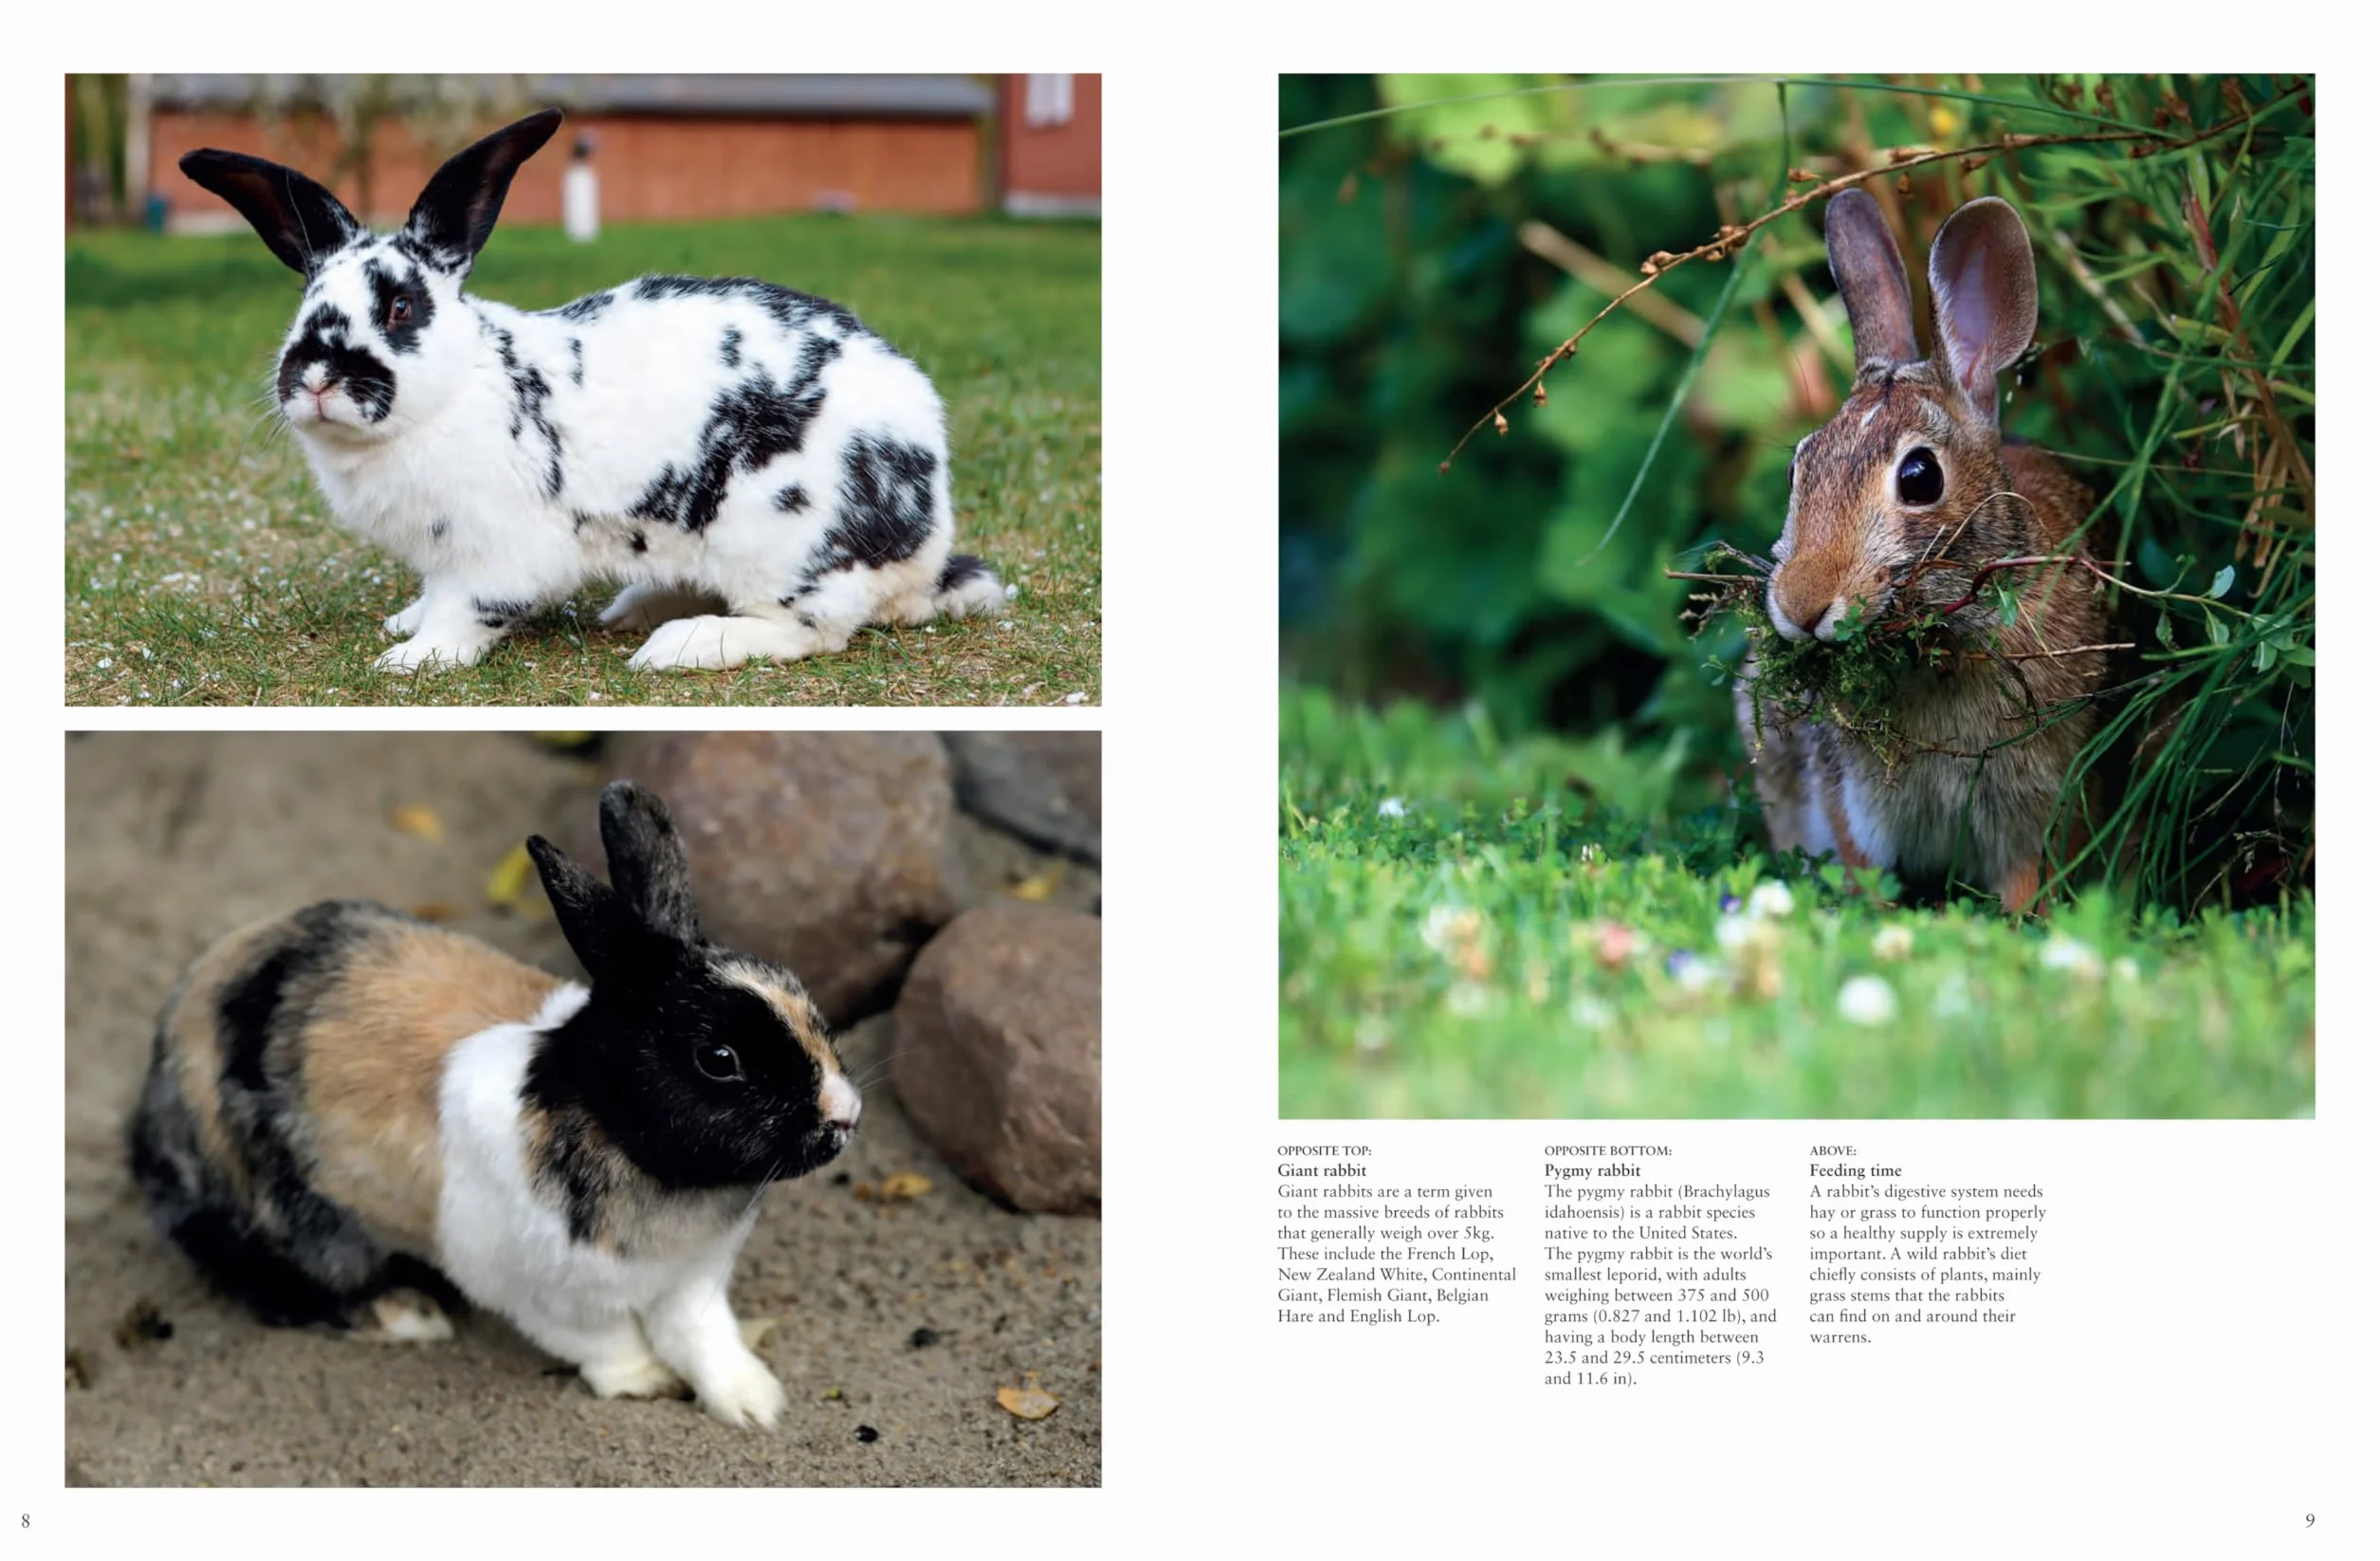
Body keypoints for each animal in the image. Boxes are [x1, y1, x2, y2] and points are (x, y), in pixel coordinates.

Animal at [125, 781, 861, 1429]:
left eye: (799, 994)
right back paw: (409, 1317)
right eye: (719, 1059)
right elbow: (607, 1346)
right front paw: (646, 1383)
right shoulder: (544, 1295)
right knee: (283, 1285)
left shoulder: (692, 1284)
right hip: (292, 1219)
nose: (844, 1114)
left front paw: (754, 1404)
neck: (606, 1120)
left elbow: (704, 1339)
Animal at [179, 108, 1008, 674]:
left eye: (401, 308)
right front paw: (401, 626)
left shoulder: (496, 552)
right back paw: (632, 611)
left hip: (781, 541)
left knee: (810, 630)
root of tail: (926, 544)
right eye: (305, 304)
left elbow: (467, 609)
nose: (316, 376)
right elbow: (432, 593)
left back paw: (678, 644)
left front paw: (414, 658)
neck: (455, 391)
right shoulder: (440, 554)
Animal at [1732, 190, 2110, 915]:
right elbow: (1862, 871)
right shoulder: (1851, 800)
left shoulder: (2037, 801)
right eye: (1798, 468)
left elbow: (2028, 883)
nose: (1801, 605)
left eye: (1920, 477)